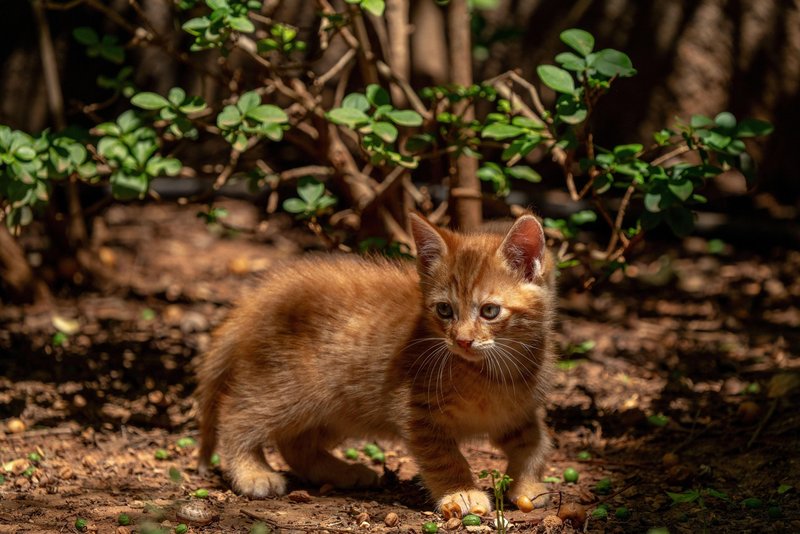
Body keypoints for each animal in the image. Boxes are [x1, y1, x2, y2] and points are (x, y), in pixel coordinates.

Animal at [195, 213, 556, 516]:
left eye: (489, 311)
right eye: (444, 310)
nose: (462, 340)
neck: (496, 371)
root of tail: (260, 296)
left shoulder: (518, 413)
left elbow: (535, 445)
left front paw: (528, 484)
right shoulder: (416, 410)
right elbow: (443, 456)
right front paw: (460, 491)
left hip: (336, 408)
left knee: (295, 443)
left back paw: (341, 471)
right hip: (284, 386)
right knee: (237, 416)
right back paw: (251, 472)